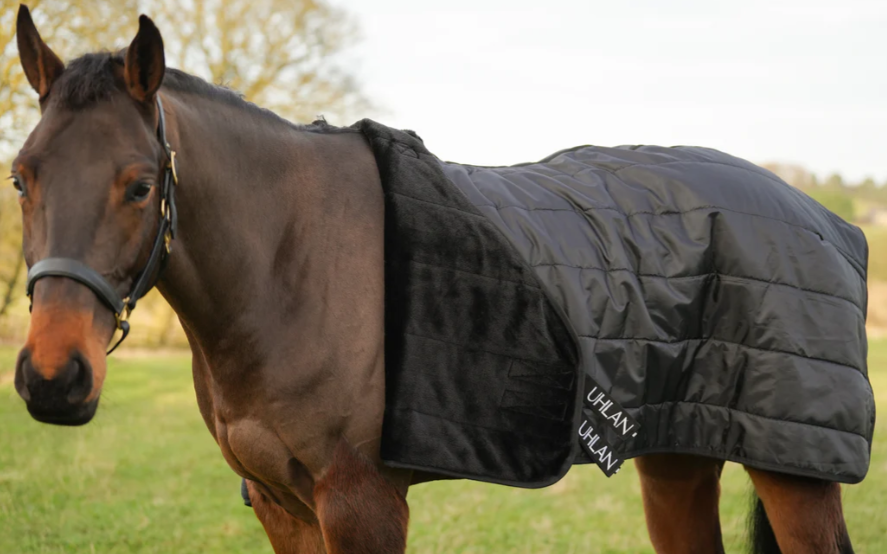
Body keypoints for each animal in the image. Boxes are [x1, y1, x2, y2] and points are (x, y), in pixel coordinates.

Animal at [9, 6, 862, 553]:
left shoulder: (362, 504)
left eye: (139, 186)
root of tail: (823, 219)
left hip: (793, 474)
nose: (53, 378)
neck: (289, 268)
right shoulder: (283, 508)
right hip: (677, 460)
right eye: (22, 177)